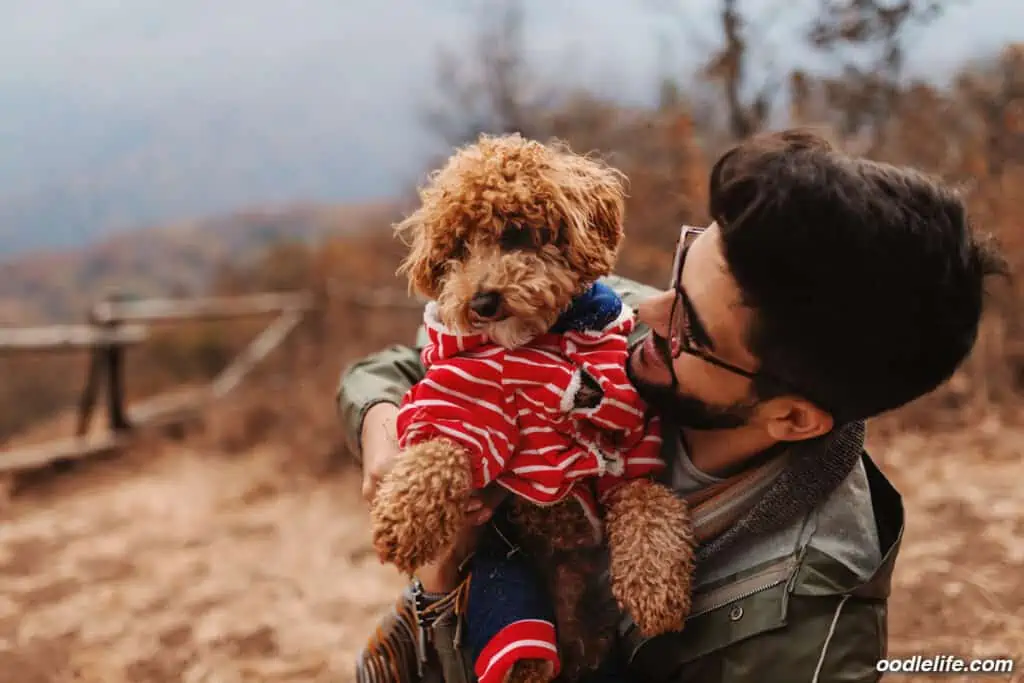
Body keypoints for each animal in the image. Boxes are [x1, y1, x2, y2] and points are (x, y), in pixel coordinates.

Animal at [368, 133, 696, 683]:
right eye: (458, 250)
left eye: (516, 233)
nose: (482, 302)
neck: (539, 341)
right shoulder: (466, 394)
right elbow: (438, 450)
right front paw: (403, 521)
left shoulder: (630, 437)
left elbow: (646, 503)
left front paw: (656, 586)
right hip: (508, 589)